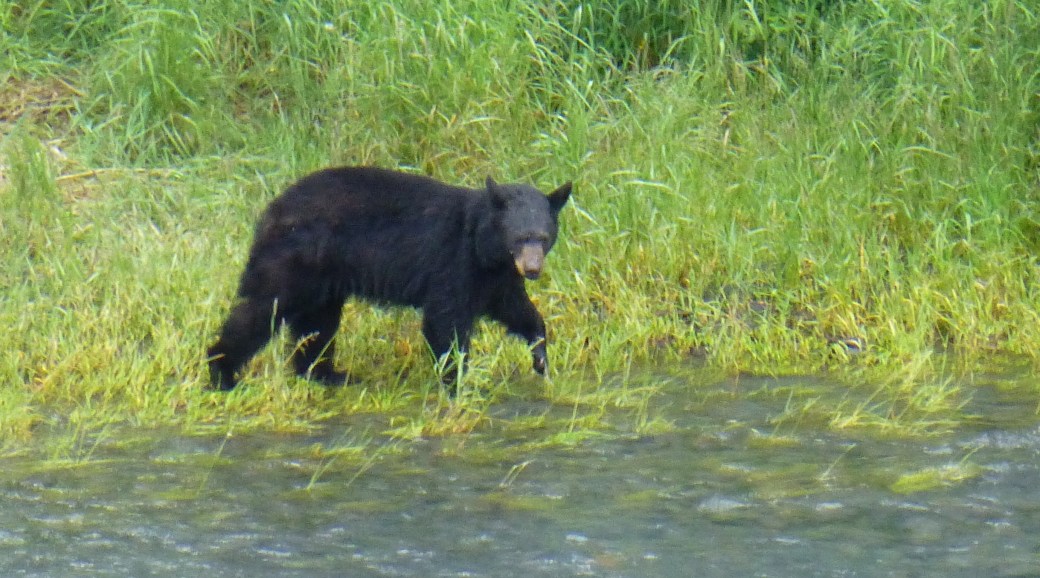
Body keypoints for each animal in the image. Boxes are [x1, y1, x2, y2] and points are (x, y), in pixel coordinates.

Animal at [206, 166, 572, 391]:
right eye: (520, 237)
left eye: (543, 237)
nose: (533, 270)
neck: (484, 246)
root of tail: (271, 210)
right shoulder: (452, 261)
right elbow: (446, 319)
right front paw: (456, 380)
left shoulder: (496, 278)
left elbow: (517, 310)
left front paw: (540, 356)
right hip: (295, 258)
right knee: (263, 308)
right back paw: (222, 371)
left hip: (323, 278)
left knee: (318, 323)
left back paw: (326, 374)